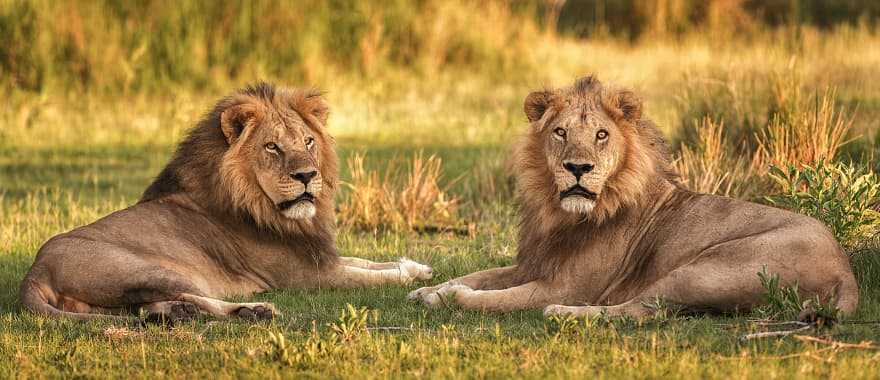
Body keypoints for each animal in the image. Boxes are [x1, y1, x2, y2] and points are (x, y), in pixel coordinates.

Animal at [20, 82, 434, 320]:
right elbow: (372, 276)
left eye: (308, 142)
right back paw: (254, 310)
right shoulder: (309, 276)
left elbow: (369, 261)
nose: (307, 176)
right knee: (184, 296)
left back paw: (180, 314)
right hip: (150, 268)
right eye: (272, 147)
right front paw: (409, 276)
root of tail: (35, 272)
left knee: (149, 307)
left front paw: (417, 267)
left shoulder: (319, 255)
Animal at [412, 75, 860, 318]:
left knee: (642, 311)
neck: (560, 213)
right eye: (560, 132)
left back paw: (564, 315)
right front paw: (426, 288)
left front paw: (446, 296)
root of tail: (846, 270)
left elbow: (496, 299)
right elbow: (483, 274)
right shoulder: (533, 264)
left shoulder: (565, 285)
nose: (578, 168)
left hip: (701, 269)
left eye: (601, 135)